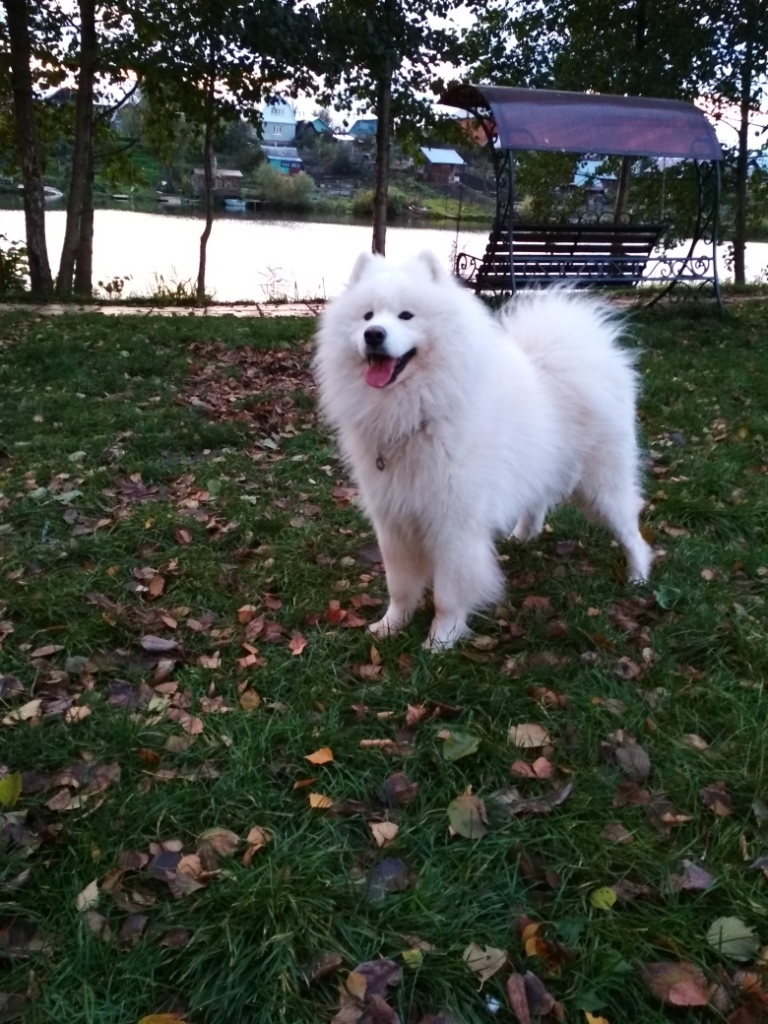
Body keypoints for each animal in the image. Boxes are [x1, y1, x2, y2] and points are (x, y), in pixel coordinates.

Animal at [315, 249, 651, 647]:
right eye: (367, 316)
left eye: (406, 315)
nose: (373, 334)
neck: (418, 414)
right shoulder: (393, 520)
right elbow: (400, 587)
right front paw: (390, 625)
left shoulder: (454, 524)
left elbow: (447, 594)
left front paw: (440, 640)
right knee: (537, 502)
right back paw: (523, 536)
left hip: (602, 488)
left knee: (631, 530)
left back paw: (639, 576)